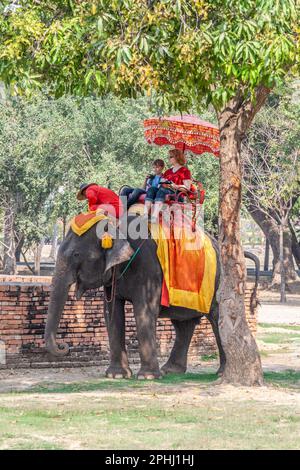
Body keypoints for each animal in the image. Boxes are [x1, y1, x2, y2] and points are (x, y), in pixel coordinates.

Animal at [44, 215, 258, 380]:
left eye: (76, 254)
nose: (65, 346)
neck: (118, 223)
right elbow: (112, 314)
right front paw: (116, 375)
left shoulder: (148, 268)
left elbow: (144, 311)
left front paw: (147, 377)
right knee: (183, 324)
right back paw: (171, 371)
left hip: (219, 282)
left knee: (215, 318)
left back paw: (221, 373)